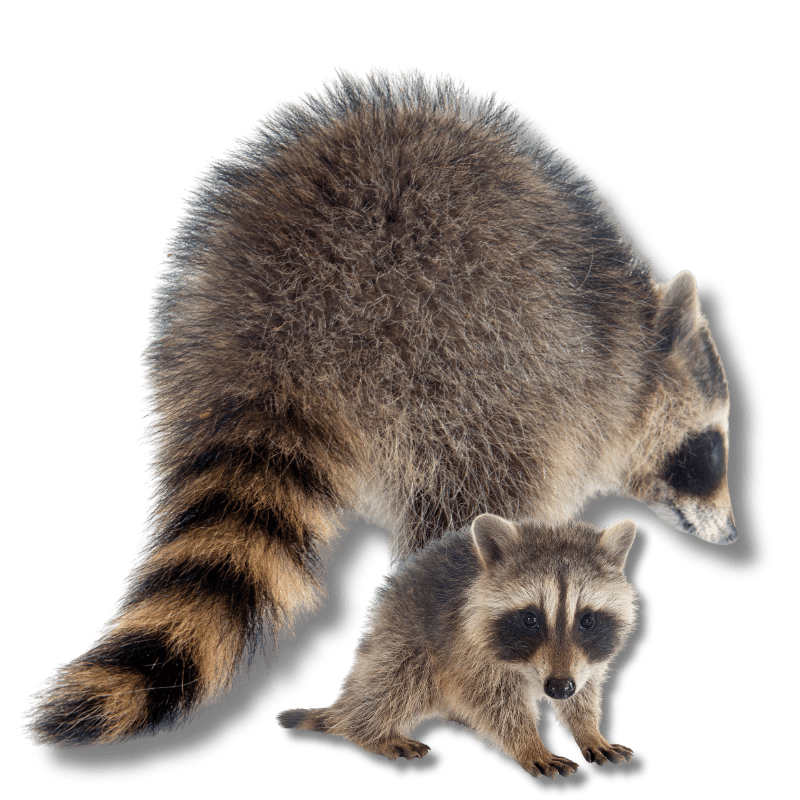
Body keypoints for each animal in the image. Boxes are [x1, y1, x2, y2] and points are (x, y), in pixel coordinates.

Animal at [22, 65, 736, 749]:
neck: (631, 341)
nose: (731, 537)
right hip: (458, 357)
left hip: (192, 332)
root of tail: (287, 326)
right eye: (709, 449)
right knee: (463, 513)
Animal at [278, 513, 639, 780]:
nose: (559, 687)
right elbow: (494, 703)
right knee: (396, 679)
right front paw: (529, 744)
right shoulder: (467, 645)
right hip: (402, 633)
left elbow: (585, 691)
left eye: (587, 620)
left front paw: (588, 730)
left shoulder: (585, 660)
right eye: (530, 619)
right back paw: (367, 731)